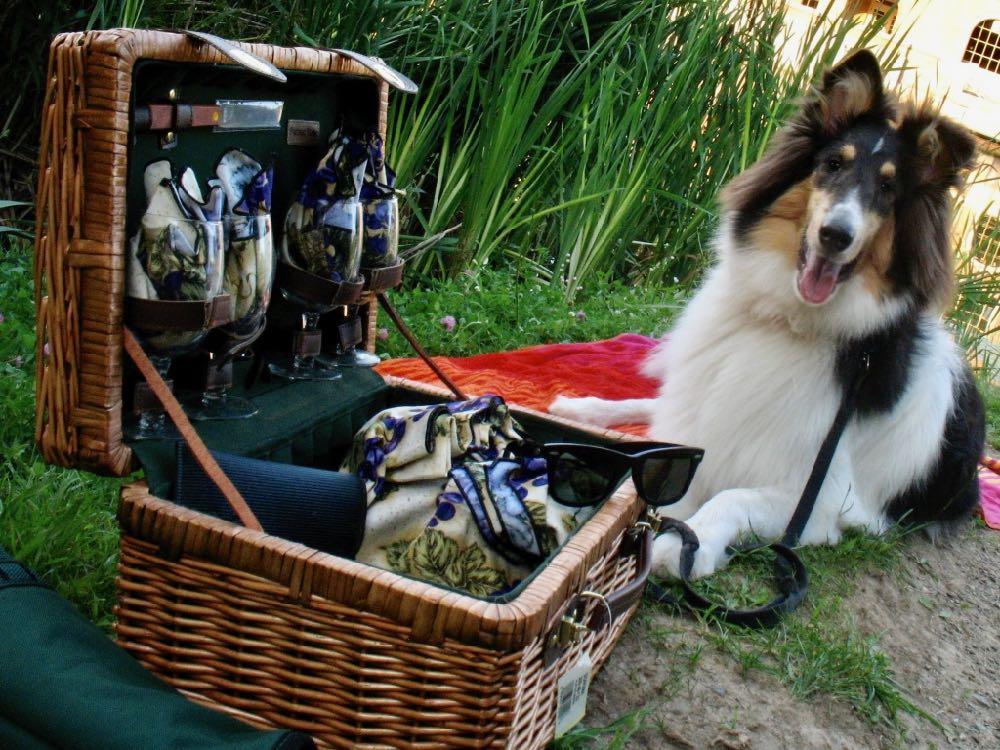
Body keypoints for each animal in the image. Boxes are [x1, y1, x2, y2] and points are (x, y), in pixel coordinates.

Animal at [556, 51, 984, 580]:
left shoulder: (817, 501)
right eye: (832, 164)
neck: (785, 319)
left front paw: (685, 544)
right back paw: (579, 407)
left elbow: (731, 497)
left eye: (887, 188)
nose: (835, 235)